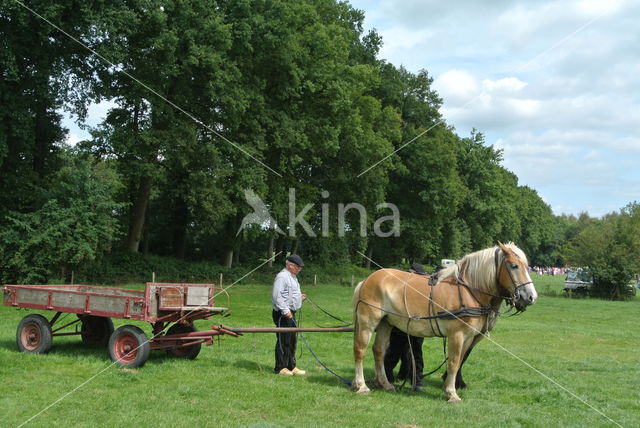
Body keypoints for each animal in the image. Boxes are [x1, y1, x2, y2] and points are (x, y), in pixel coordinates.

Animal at [352, 242, 536, 402]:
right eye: (514, 266)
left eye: (527, 266)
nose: (531, 296)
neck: (469, 290)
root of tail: (366, 280)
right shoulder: (456, 335)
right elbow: (454, 362)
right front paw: (451, 393)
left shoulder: (469, 337)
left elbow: (460, 360)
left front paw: (450, 386)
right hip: (368, 322)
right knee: (360, 350)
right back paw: (361, 385)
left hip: (386, 323)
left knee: (379, 351)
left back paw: (385, 383)